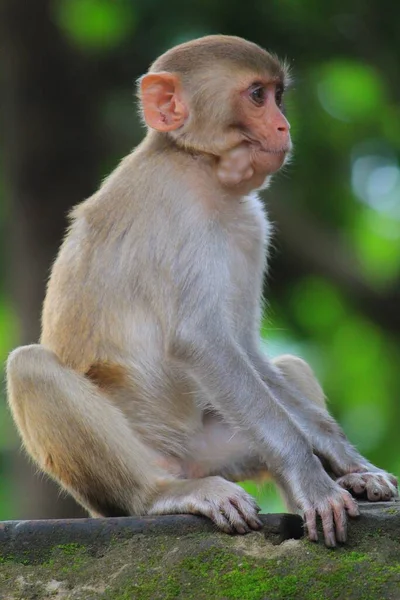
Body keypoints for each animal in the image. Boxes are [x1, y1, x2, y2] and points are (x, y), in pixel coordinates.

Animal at [6, 35, 396, 548]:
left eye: (278, 95)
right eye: (257, 96)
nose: (284, 125)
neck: (202, 169)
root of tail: (186, 462)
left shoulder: (254, 225)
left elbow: (246, 348)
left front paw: (350, 463)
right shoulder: (176, 208)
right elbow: (200, 341)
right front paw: (313, 481)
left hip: (225, 447)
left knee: (286, 367)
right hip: (134, 467)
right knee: (29, 366)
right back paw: (163, 494)